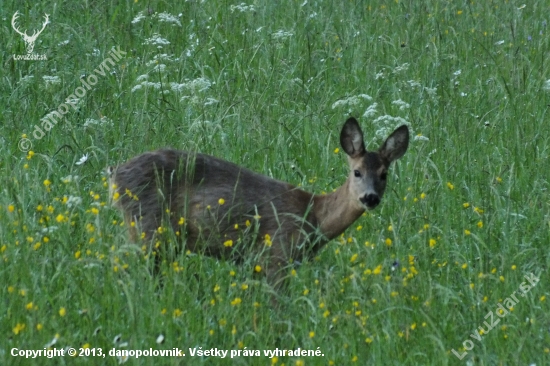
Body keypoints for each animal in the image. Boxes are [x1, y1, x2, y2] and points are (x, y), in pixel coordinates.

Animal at [109, 117, 410, 288]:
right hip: (148, 227)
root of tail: (115, 175)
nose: (370, 197)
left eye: (384, 174)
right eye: (357, 172)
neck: (313, 216)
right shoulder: (276, 255)